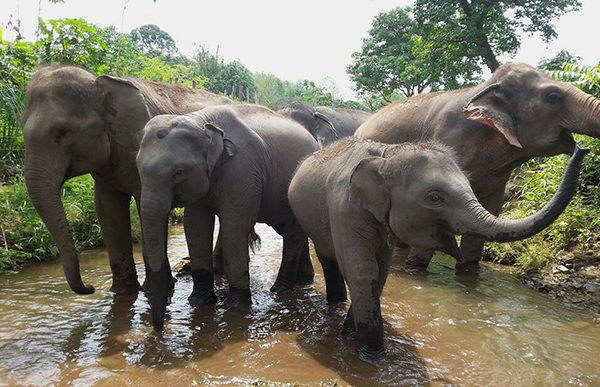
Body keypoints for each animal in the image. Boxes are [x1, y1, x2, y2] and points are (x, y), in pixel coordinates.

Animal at [21, 65, 232, 296]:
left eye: (62, 132)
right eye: (21, 130)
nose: (90, 287)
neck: (99, 82)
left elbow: (145, 208)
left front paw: (154, 290)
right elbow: (107, 209)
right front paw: (122, 291)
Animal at [138, 104, 322, 328]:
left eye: (178, 172)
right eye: (137, 168)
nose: (159, 328)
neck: (202, 122)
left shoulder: (242, 171)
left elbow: (234, 225)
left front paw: (235, 306)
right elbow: (195, 225)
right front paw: (200, 302)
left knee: (293, 233)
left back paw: (280, 289)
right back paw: (303, 281)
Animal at [288, 137, 588, 364]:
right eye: (434, 198)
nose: (581, 147)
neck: (389, 153)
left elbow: (381, 272)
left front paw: (351, 337)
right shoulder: (345, 209)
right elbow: (363, 271)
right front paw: (372, 359)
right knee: (327, 256)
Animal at [354, 62, 600, 272]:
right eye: (553, 97)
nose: (582, 148)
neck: (484, 89)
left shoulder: (498, 177)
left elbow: (491, 208)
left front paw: (468, 272)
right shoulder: (450, 139)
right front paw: (415, 270)